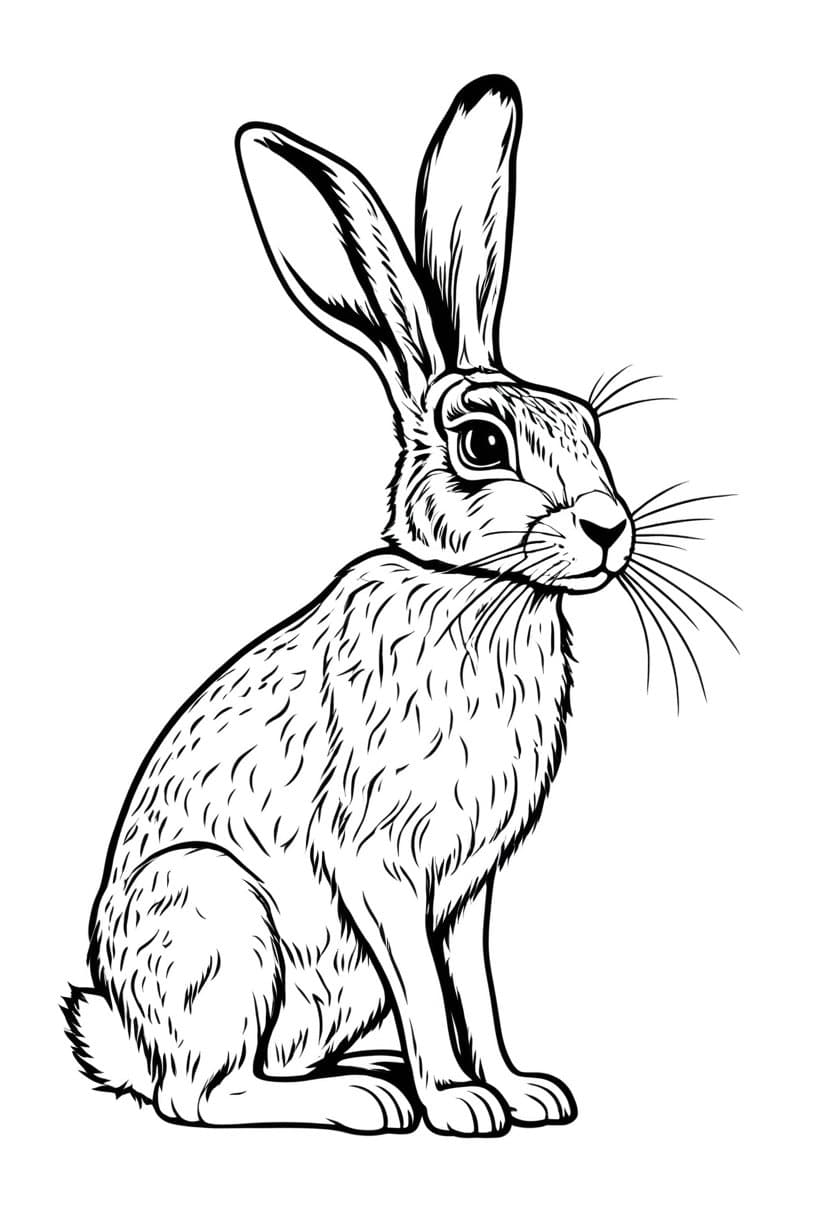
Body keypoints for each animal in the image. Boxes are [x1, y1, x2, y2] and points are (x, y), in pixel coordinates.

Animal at [63, 75, 634, 1136]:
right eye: (482, 444)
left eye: (587, 423)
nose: (609, 528)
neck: (477, 587)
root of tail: (125, 1040)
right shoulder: (381, 867)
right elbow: (424, 987)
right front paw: (460, 1106)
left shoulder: (467, 889)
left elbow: (474, 987)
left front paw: (523, 1092)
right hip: (221, 926)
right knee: (203, 1096)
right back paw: (370, 1101)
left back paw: (369, 1074)